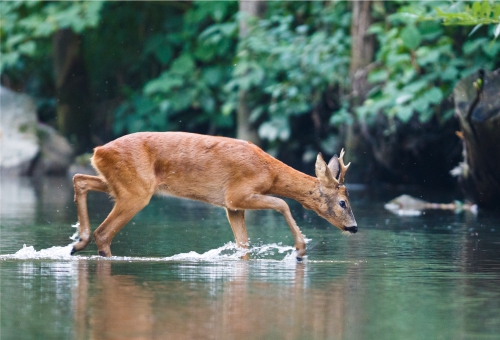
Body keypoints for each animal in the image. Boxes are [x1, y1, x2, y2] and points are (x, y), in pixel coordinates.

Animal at [73, 131, 356, 258]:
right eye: (343, 202)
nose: (353, 227)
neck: (270, 173)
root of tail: (98, 151)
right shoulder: (237, 194)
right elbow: (282, 203)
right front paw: (300, 248)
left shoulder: (232, 207)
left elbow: (243, 245)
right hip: (137, 191)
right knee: (103, 233)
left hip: (121, 183)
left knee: (80, 179)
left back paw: (78, 242)